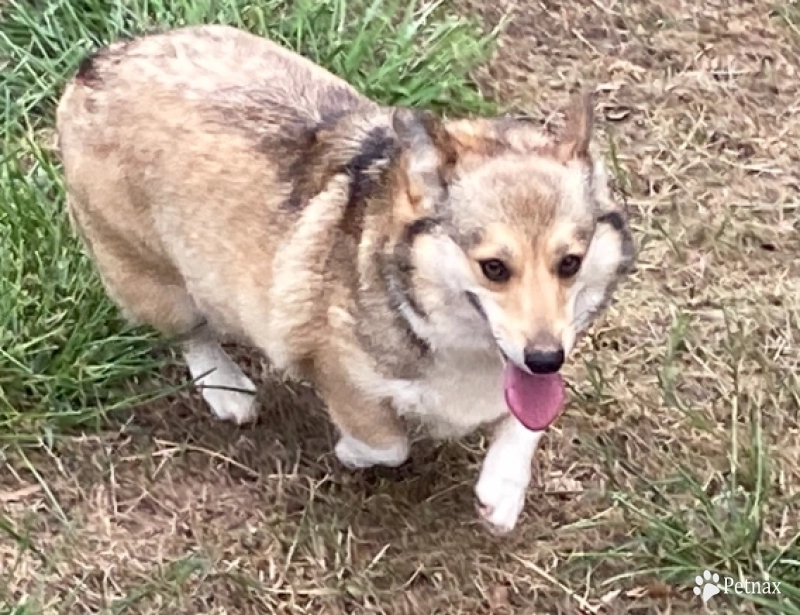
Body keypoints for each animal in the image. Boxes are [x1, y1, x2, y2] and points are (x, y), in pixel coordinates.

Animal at [56, 24, 636, 536]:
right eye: (493, 267)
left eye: (570, 262)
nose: (546, 358)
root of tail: (99, 63)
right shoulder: (342, 374)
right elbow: (387, 443)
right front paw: (352, 453)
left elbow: (528, 420)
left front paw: (503, 489)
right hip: (152, 278)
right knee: (192, 333)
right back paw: (227, 388)